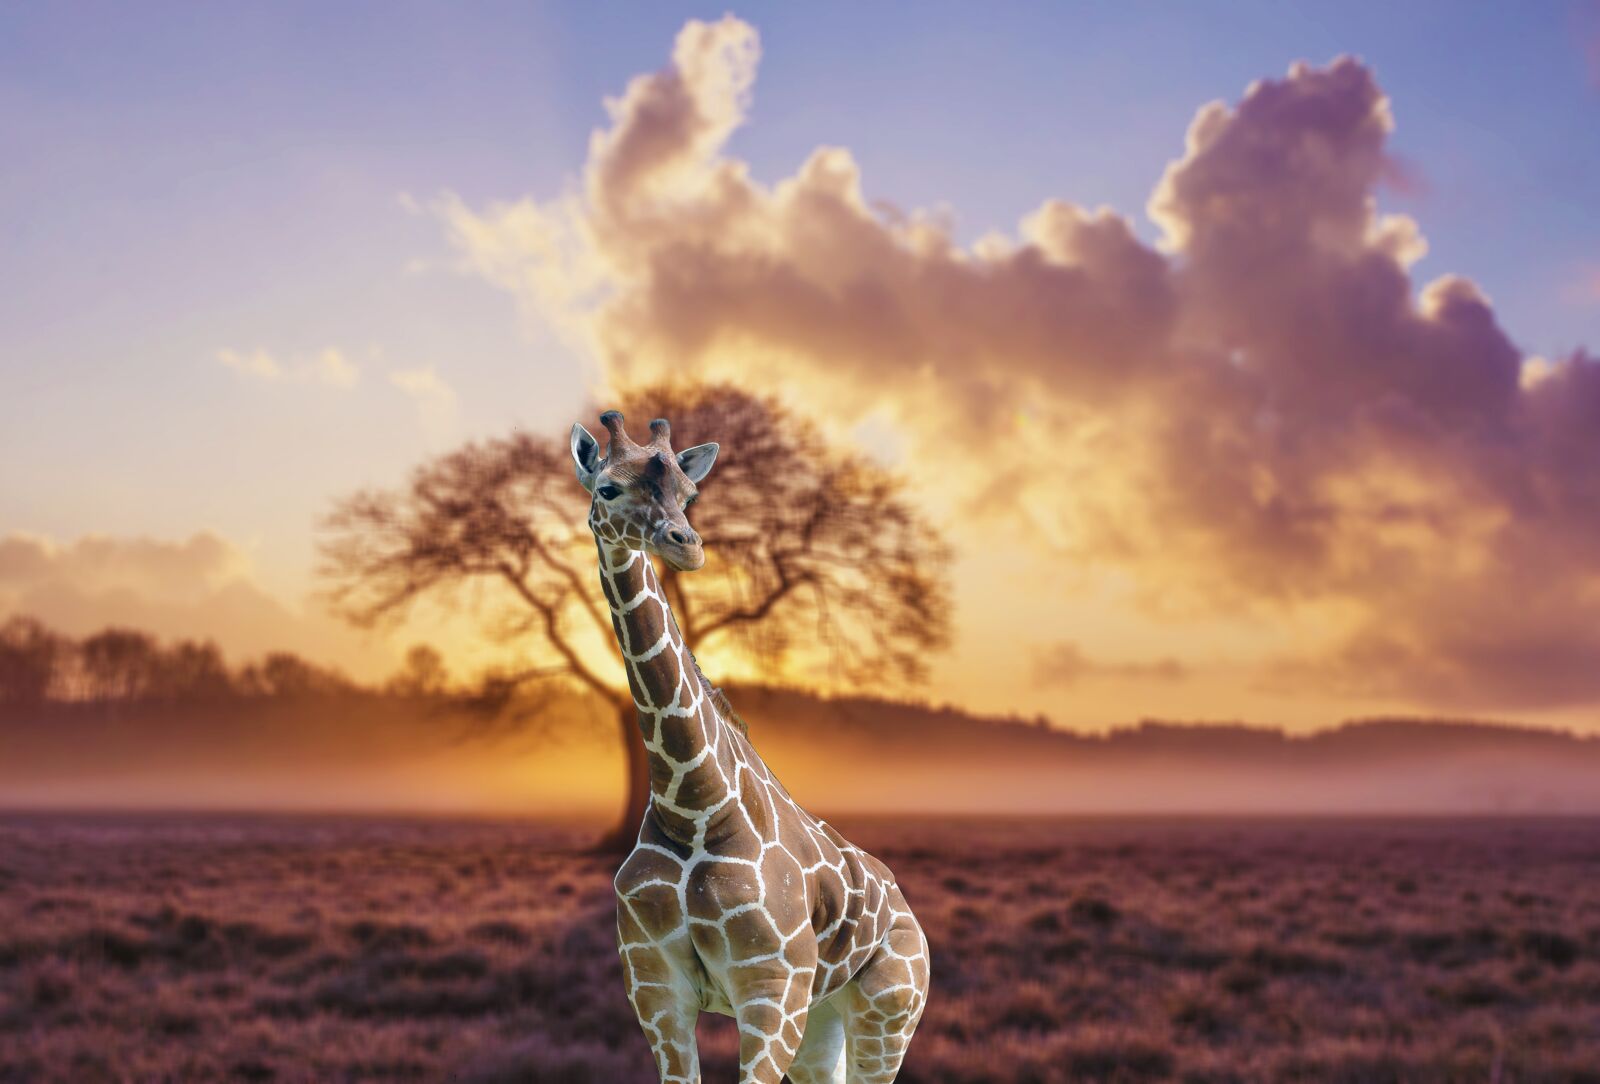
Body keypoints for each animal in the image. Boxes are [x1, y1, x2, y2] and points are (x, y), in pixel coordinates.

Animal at [570, 410, 931, 1084]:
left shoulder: (771, 991)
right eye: (608, 487)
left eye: (690, 494)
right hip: (822, 1020)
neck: (696, 807)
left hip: (890, 1008)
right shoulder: (654, 990)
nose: (687, 544)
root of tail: (907, 907)